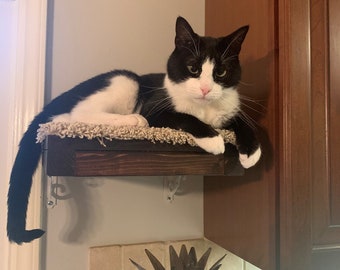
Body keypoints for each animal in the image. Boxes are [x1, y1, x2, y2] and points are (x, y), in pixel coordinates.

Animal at [6, 16, 262, 245]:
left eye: (221, 72)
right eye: (193, 68)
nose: (206, 89)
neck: (205, 108)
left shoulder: (228, 108)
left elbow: (245, 121)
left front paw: (251, 153)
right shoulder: (156, 109)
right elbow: (184, 117)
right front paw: (214, 139)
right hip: (125, 81)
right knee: (78, 112)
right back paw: (132, 120)